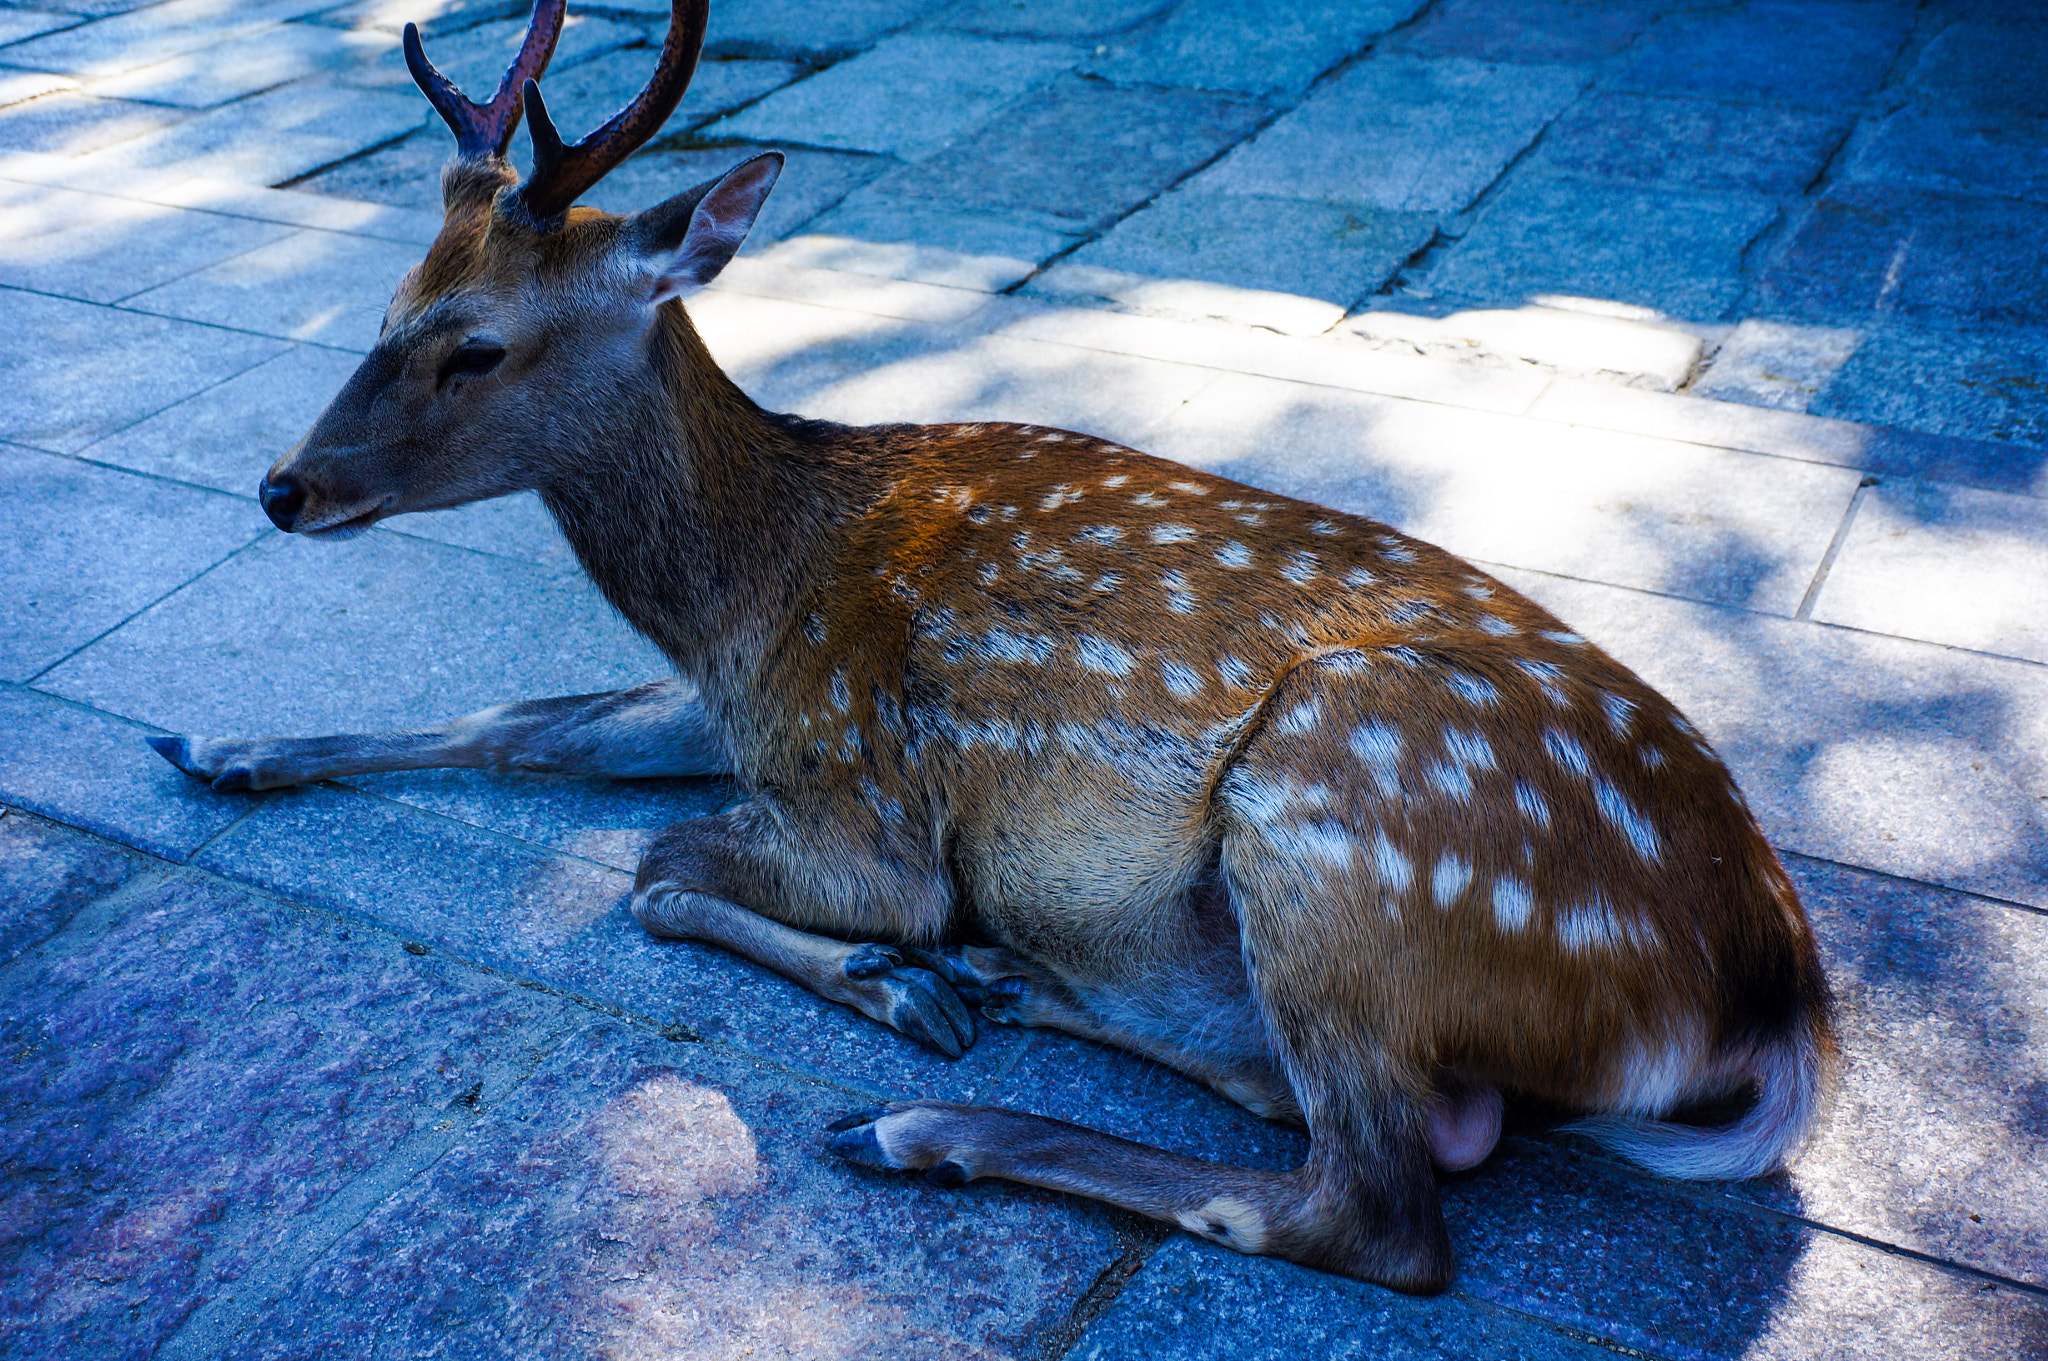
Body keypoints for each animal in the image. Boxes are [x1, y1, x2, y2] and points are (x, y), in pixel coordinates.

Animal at [144, 0, 1843, 1293]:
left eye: (478, 344)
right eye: (391, 297)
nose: (282, 488)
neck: (756, 577)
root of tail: (1779, 1002)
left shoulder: (861, 795)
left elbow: (654, 873)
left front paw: (894, 984)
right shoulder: (740, 704)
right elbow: (524, 718)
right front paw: (212, 743)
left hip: (1339, 820)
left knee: (1376, 1202)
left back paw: (921, 1119)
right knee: (1316, 1102)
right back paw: (1030, 988)